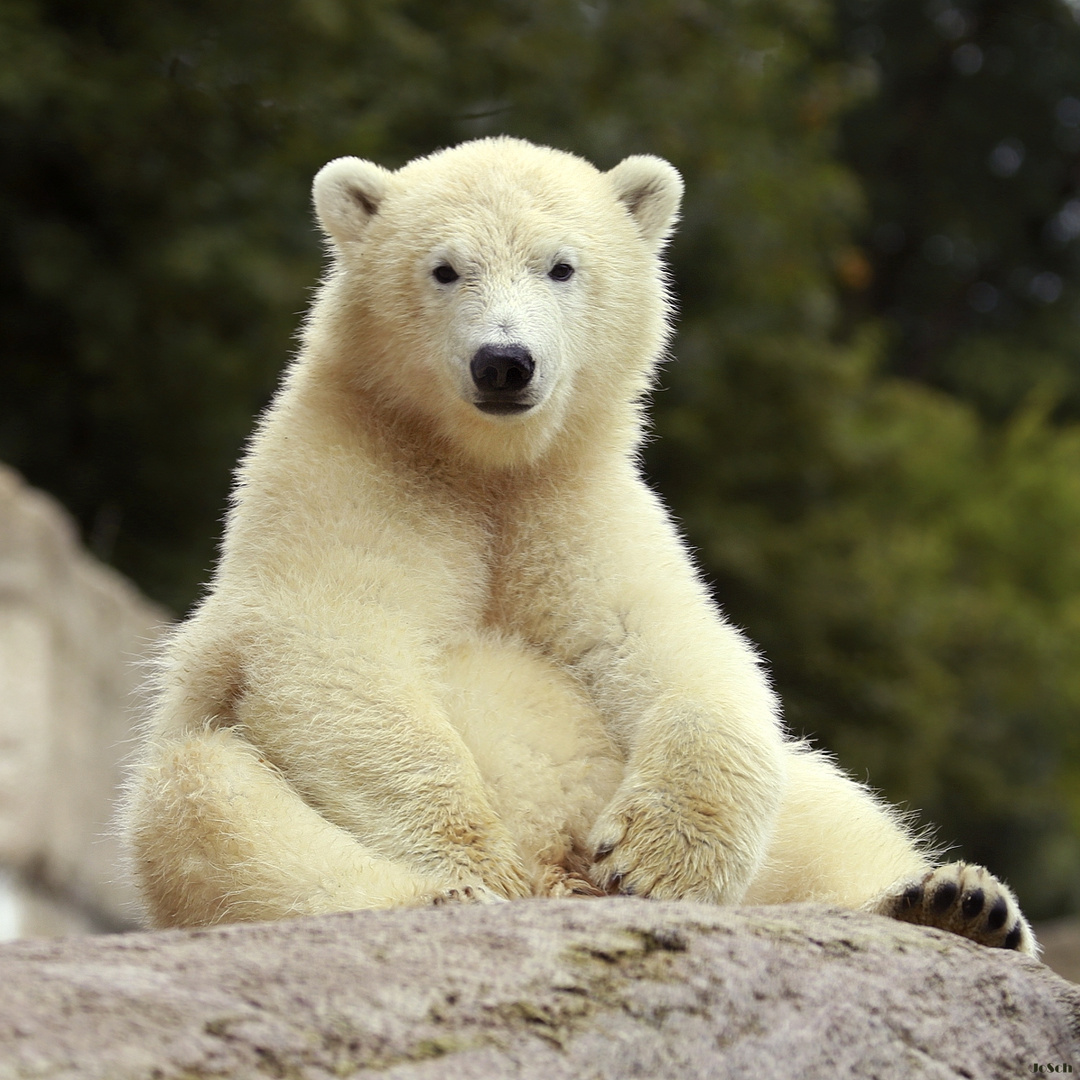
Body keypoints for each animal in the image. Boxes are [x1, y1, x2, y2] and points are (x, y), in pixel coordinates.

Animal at [120, 135, 1036, 954]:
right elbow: (340, 650)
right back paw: (443, 899)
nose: (504, 362)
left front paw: (658, 861)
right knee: (204, 802)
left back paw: (955, 902)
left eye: (561, 266)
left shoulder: (574, 500)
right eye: (444, 268)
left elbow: (662, 642)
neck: (482, 464)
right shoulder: (346, 478)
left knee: (823, 806)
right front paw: (471, 862)